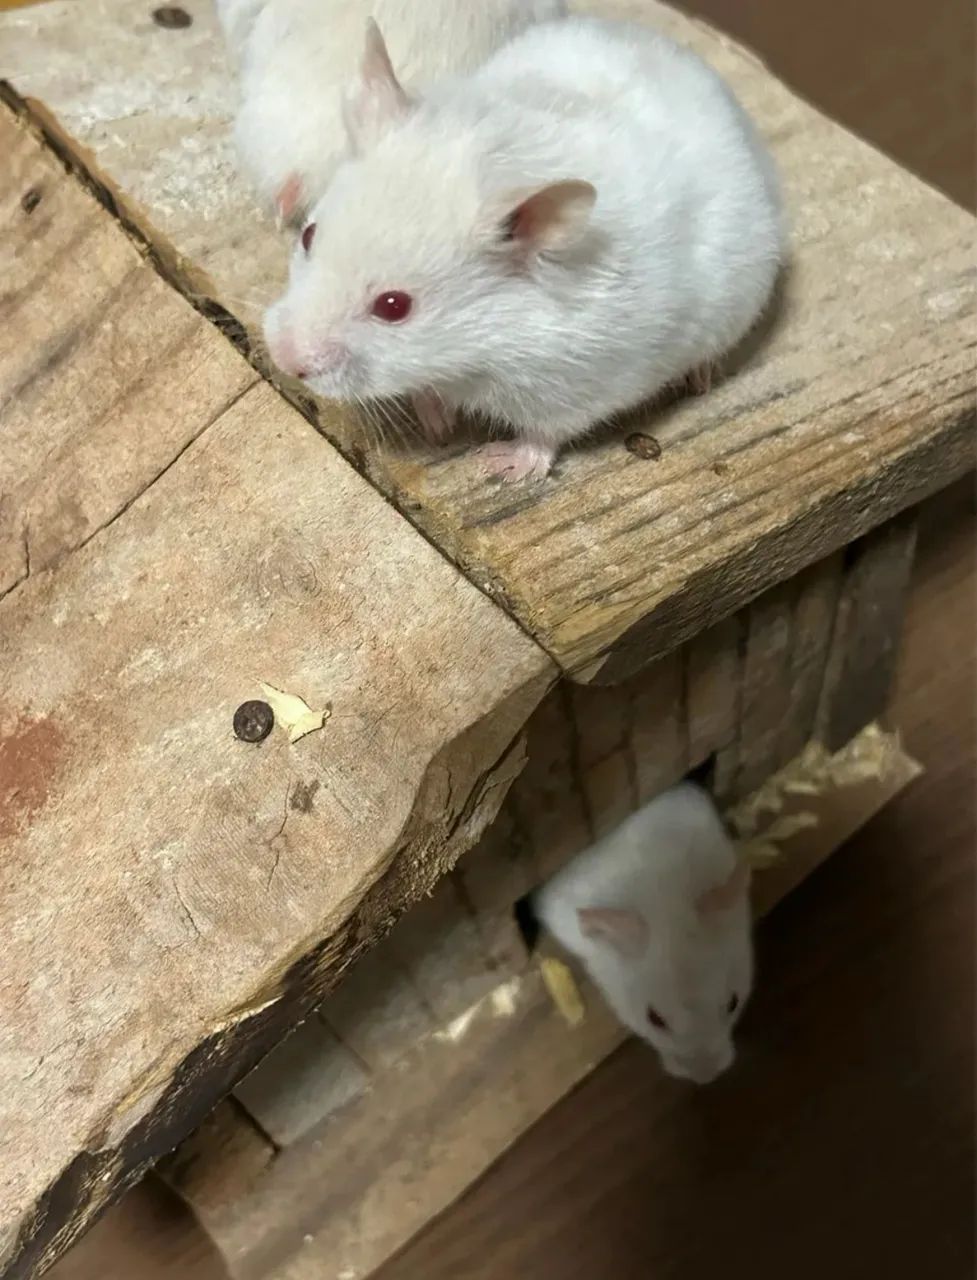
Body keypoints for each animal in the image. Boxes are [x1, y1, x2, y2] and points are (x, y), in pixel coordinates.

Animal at [263, 16, 784, 480]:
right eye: (308, 236)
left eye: (394, 306)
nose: (284, 359)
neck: (481, 351)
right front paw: (438, 423)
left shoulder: (576, 389)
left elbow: (544, 435)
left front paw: (498, 466)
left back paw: (698, 379)